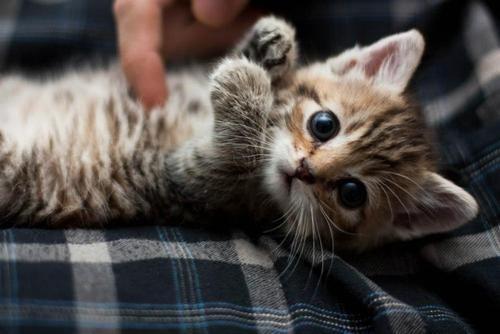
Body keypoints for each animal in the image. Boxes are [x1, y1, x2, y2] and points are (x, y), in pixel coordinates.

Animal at [0, 17, 476, 249]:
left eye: (351, 193)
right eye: (324, 124)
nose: (304, 169)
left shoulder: (182, 180)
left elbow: (225, 155)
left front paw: (245, 88)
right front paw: (266, 46)